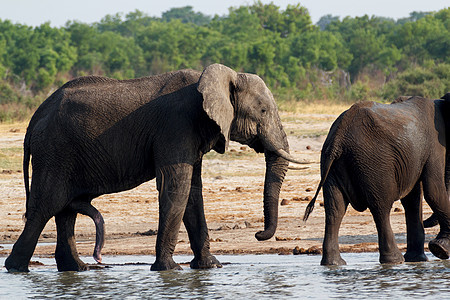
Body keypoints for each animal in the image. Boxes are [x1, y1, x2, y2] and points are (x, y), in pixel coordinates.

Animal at [5, 64, 302, 274]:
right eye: (263, 111)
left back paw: (76, 269)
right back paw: (16, 268)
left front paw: (210, 266)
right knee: (46, 206)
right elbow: (177, 188)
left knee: (65, 209)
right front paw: (169, 270)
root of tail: (35, 117)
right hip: (54, 151)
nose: (259, 234)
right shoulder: (176, 127)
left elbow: (193, 192)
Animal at [302, 93, 450, 264]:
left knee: (335, 209)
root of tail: (339, 136)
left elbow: (412, 199)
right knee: (381, 207)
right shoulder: (434, 146)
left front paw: (417, 260)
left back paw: (334, 263)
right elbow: (433, 191)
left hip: (331, 163)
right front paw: (440, 250)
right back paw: (394, 260)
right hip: (374, 162)